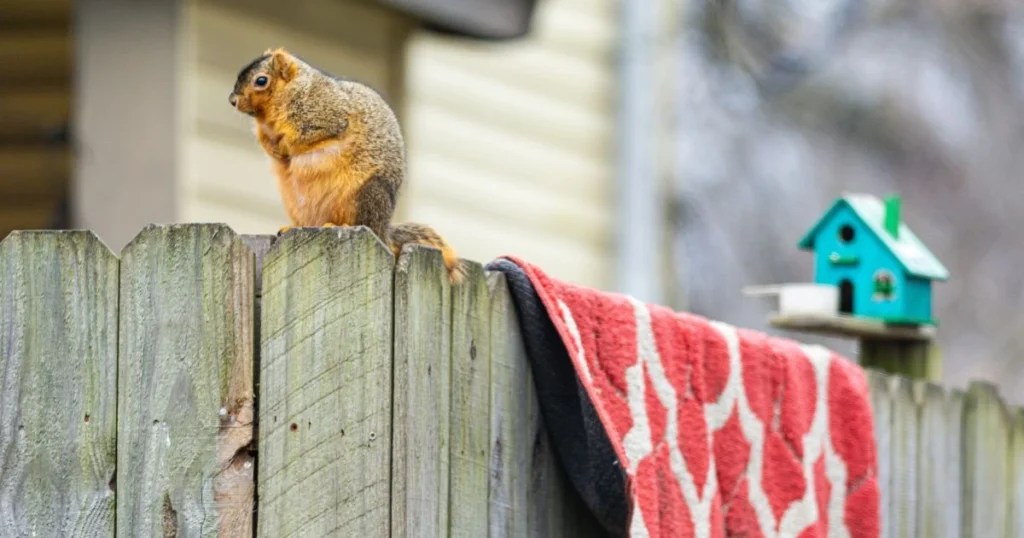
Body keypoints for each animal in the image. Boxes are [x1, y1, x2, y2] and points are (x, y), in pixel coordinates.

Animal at [228, 47, 466, 283]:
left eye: (261, 80)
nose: (232, 100)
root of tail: (384, 232)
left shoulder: (324, 114)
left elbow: (308, 134)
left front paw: (285, 145)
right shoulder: (265, 130)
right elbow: (266, 142)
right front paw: (274, 150)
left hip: (367, 196)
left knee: (364, 223)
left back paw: (340, 226)